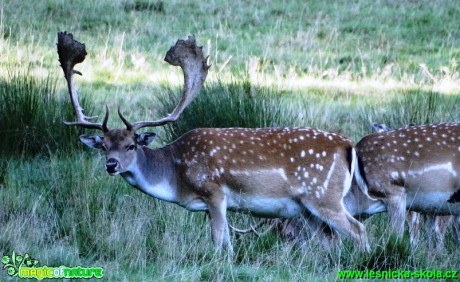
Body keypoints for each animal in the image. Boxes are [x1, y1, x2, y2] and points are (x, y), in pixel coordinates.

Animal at [56, 32, 370, 252]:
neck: (177, 176)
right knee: (332, 239)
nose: (111, 165)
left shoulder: (215, 191)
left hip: (323, 196)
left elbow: (220, 241)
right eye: (105, 146)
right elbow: (221, 240)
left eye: (131, 145)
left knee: (358, 230)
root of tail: (348, 146)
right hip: (307, 209)